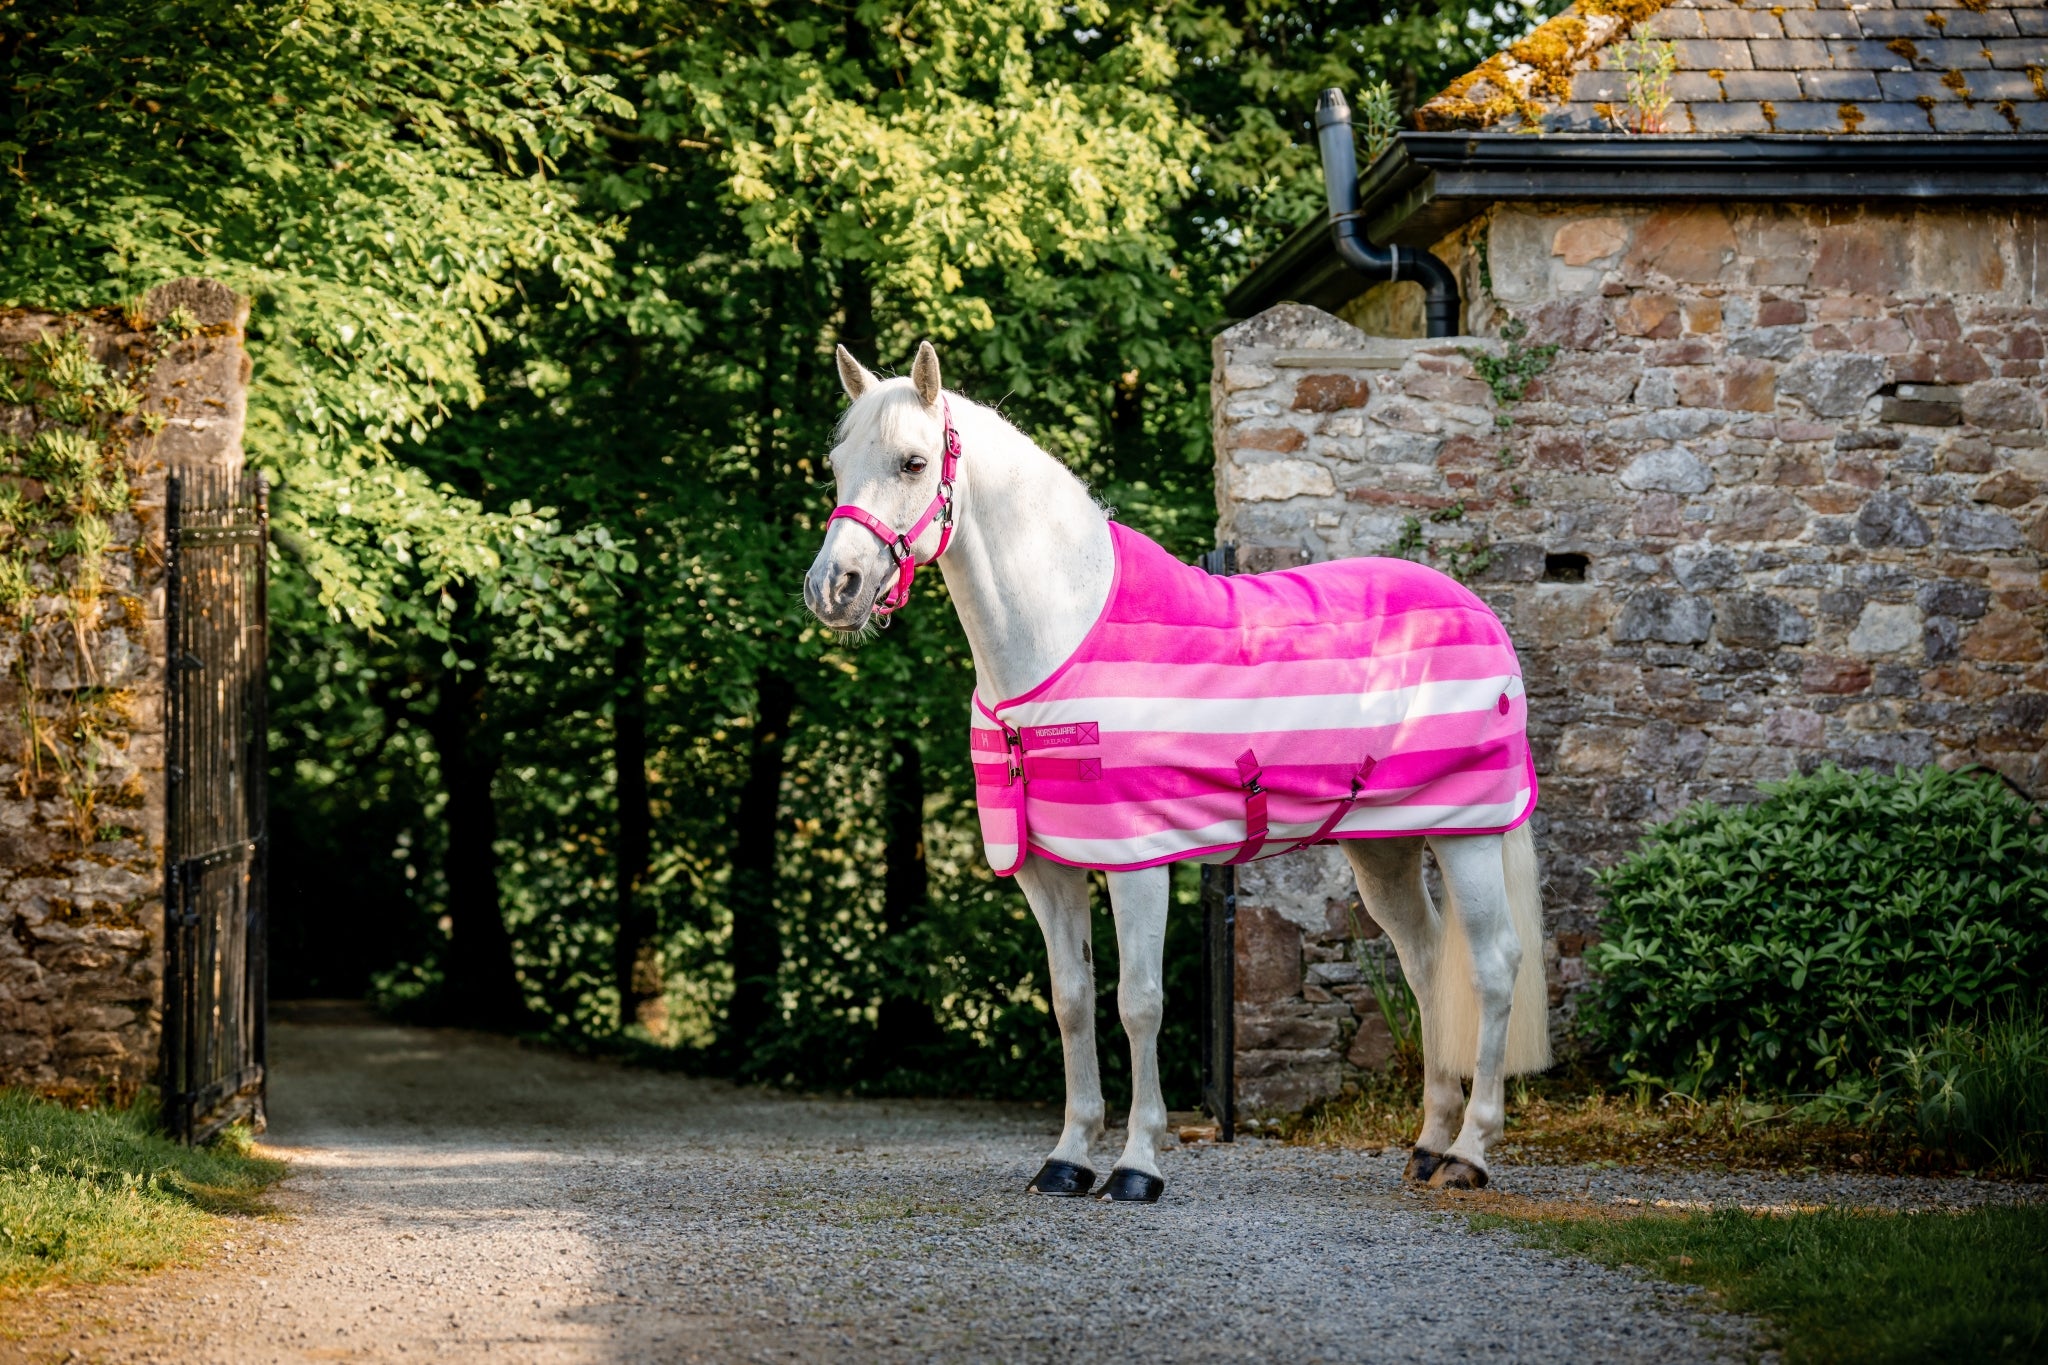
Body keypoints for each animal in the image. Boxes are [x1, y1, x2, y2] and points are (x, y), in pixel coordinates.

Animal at [803, 341, 1551, 1203]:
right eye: (837, 464)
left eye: (913, 461)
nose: (832, 588)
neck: (1059, 638)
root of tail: (1478, 610)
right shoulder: (1047, 869)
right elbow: (1071, 1000)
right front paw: (1067, 1157)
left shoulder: (1138, 862)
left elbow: (1139, 1003)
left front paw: (1137, 1164)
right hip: (1384, 846)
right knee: (1426, 961)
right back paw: (1428, 1142)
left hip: (1468, 833)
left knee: (1492, 966)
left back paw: (1470, 1152)